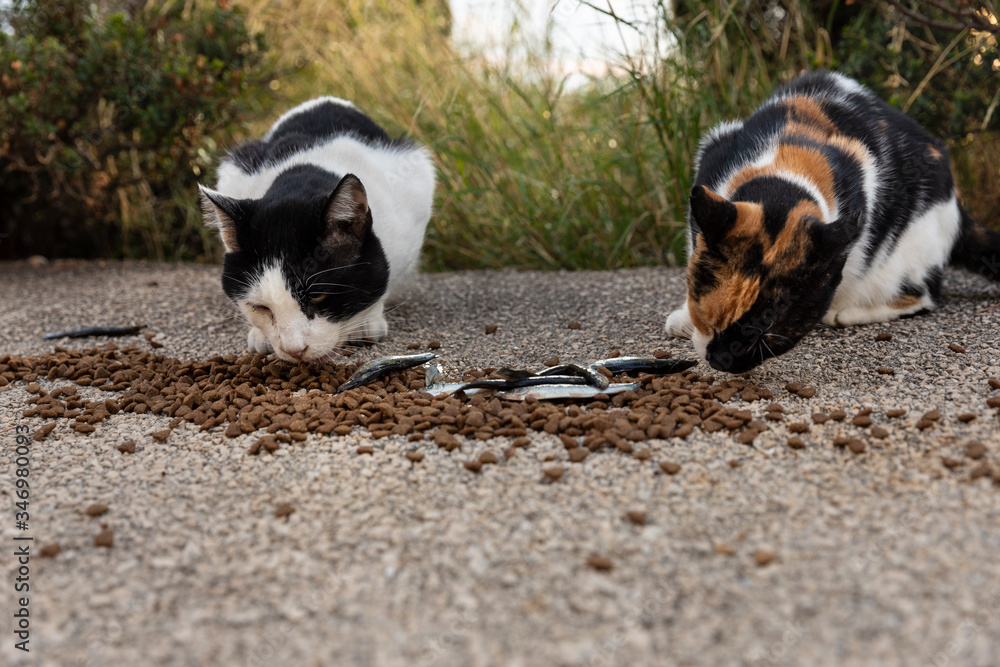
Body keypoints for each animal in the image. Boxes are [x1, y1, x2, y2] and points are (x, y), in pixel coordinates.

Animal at [201, 96, 436, 362]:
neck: (302, 180)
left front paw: (368, 322)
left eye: (317, 296)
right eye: (260, 307)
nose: (294, 350)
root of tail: (326, 100)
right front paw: (259, 335)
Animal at [664, 73, 1000, 376]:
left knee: (925, 295)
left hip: (913, 250)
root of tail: (956, 202)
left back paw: (844, 312)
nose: (723, 360)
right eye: (710, 318)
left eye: (768, 334)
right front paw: (684, 318)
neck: (784, 171)